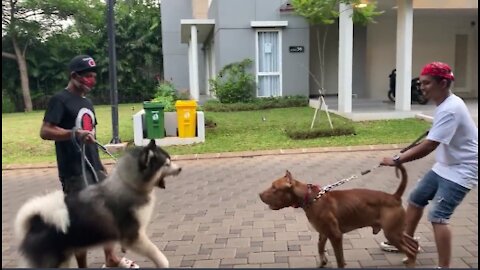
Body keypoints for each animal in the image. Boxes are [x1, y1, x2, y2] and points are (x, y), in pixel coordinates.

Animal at [258, 165, 416, 268]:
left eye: (274, 188)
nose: (259, 194)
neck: (311, 198)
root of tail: (394, 197)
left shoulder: (335, 235)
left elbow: (339, 259)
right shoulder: (323, 232)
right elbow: (320, 247)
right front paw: (322, 262)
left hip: (392, 233)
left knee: (411, 251)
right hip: (397, 232)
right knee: (413, 245)